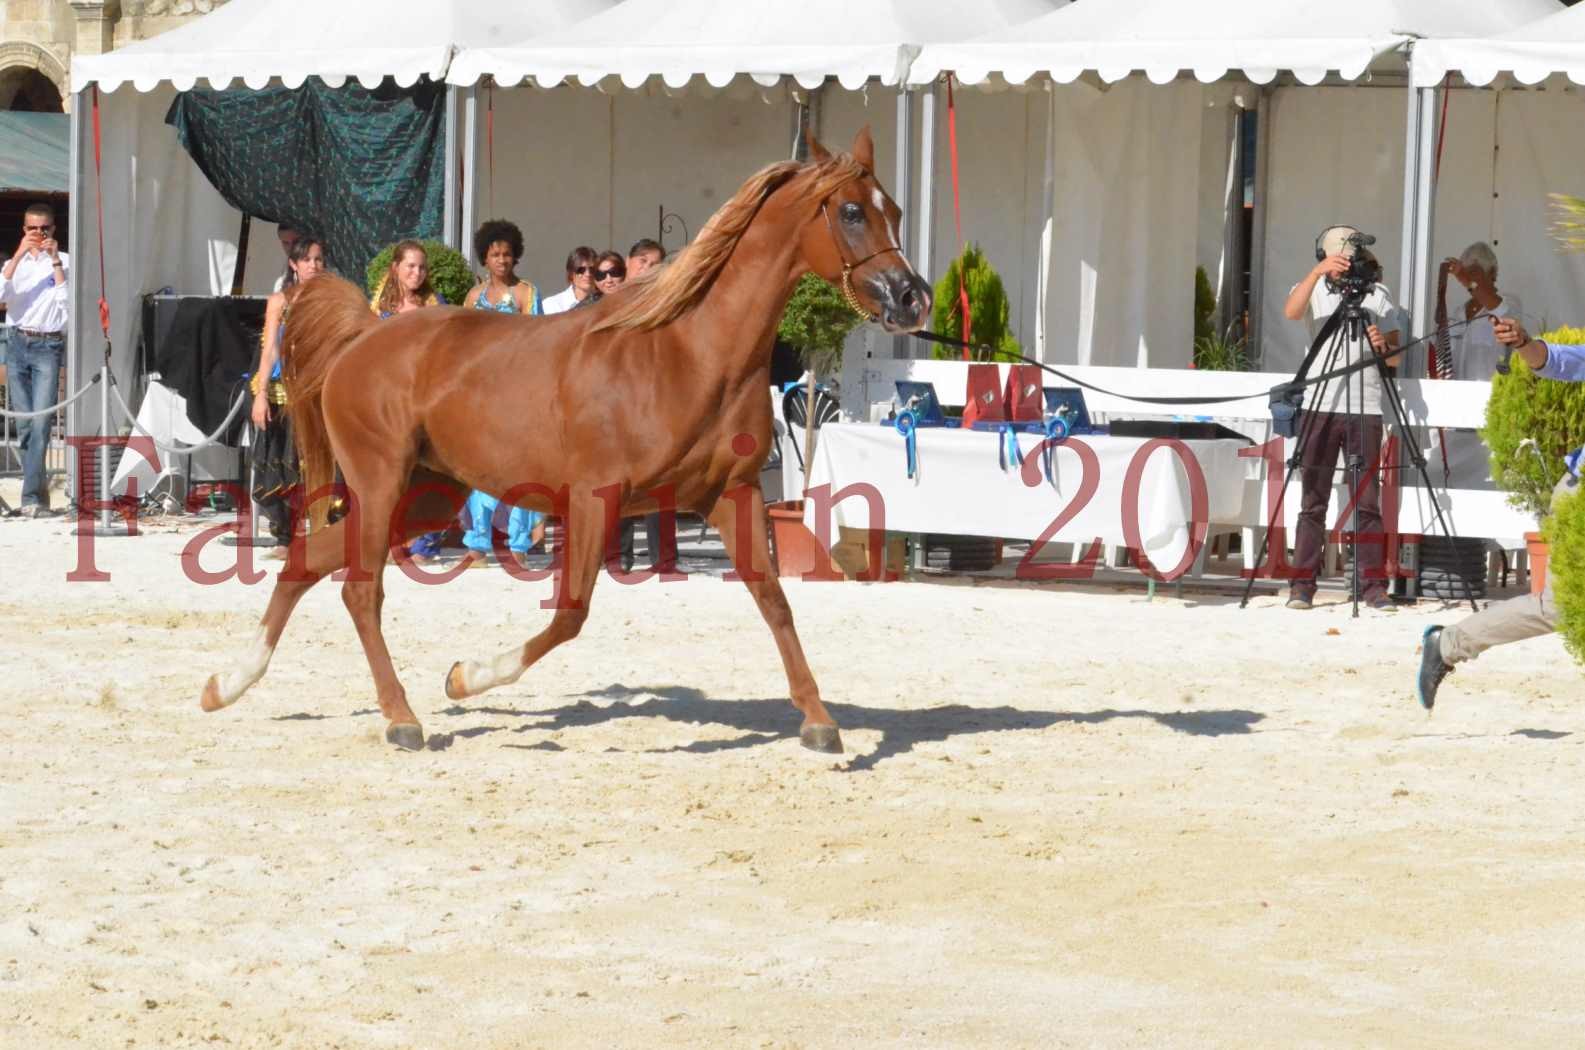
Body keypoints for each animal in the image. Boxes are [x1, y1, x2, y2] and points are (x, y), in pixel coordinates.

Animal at [196, 129, 925, 758]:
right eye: (852, 212)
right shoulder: (594, 500)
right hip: (379, 484)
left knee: (305, 560)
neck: (687, 354)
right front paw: (465, 676)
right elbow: (570, 613)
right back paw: (401, 718)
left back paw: (226, 685)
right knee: (360, 590)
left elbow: (774, 601)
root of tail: (363, 336)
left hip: (429, 495)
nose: (910, 298)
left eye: (892, 209)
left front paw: (820, 722)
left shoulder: (731, 494)